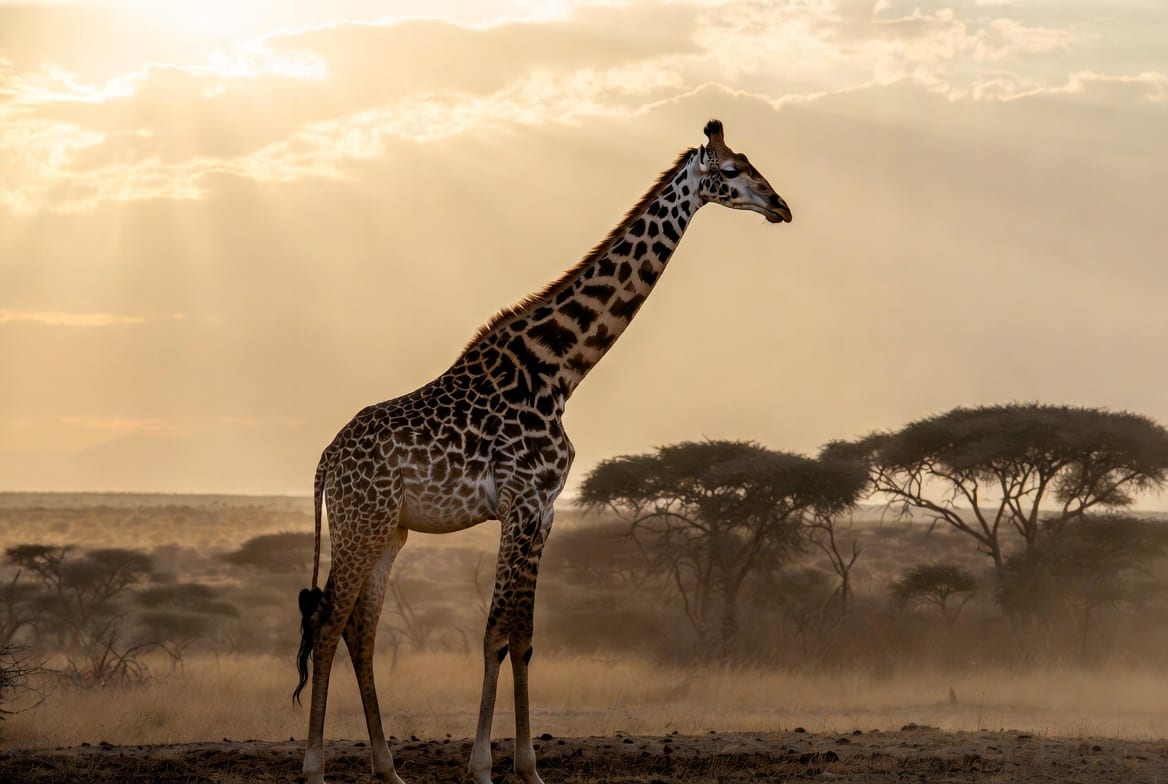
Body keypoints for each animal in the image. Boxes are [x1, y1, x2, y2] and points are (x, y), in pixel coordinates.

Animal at [294, 119, 791, 784]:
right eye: (733, 170)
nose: (781, 206)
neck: (559, 369)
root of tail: (326, 460)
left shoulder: (546, 511)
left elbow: (524, 636)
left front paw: (530, 767)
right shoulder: (520, 503)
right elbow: (494, 634)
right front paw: (482, 766)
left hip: (388, 532)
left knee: (360, 630)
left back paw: (388, 769)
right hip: (361, 523)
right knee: (327, 623)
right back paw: (314, 767)